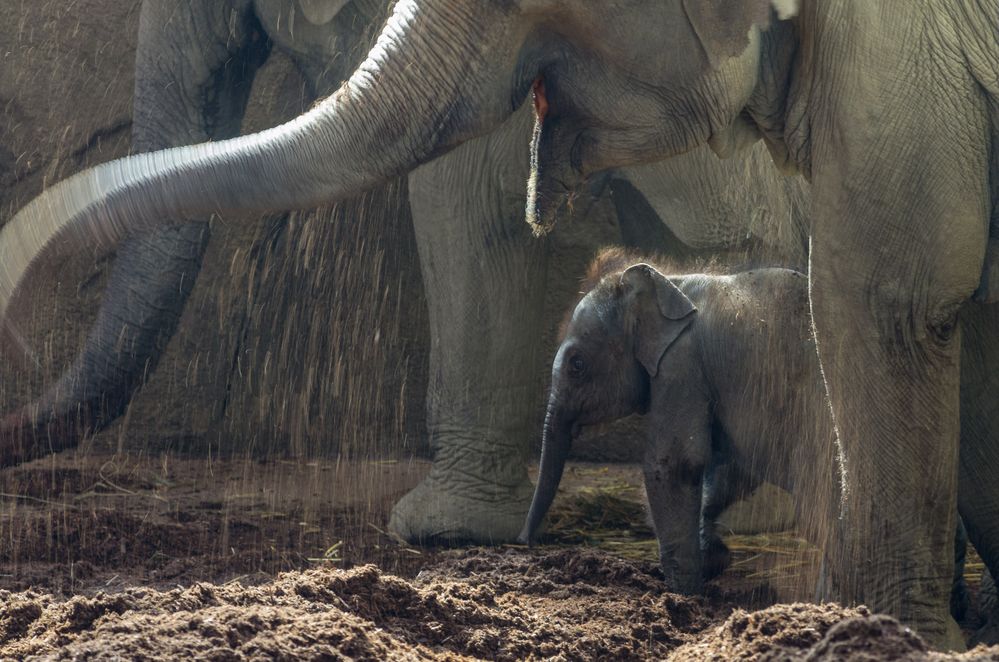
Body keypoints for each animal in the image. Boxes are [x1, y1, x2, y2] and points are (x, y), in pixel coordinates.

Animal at [520, 249, 840, 596]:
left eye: (577, 365)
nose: (525, 542)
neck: (671, 281)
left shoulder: (682, 363)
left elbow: (676, 463)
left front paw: (684, 591)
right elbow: (727, 466)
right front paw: (713, 557)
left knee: (819, 517)